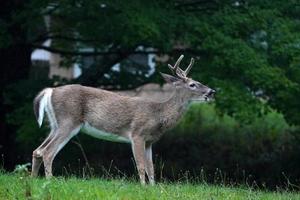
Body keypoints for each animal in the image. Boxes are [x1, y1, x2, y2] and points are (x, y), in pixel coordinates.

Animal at [31, 54, 214, 184]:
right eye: (192, 84)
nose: (212, 91)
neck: (158, 114)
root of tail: (50, 91)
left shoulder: (150, 141)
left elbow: (151, 168)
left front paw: (154, 189)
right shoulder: (137, 134)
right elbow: (141, 166)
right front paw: (143, 188)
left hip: (55, 124)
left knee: (38, 150)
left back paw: (33, 180)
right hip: (68, 121)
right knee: (47, 152)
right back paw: (50, 181)